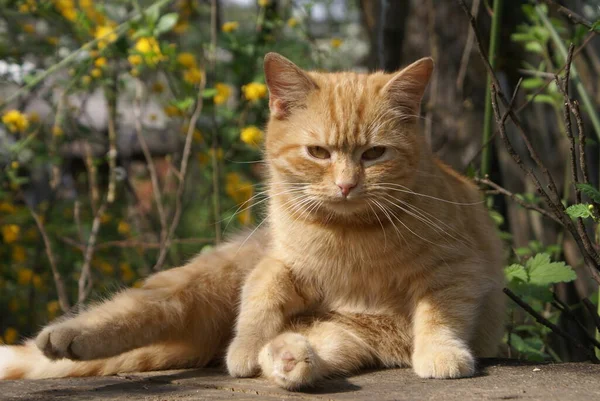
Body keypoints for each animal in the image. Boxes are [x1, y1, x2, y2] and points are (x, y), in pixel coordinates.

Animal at [0, 53, 506, 388]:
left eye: (374, 154)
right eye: (318, 152)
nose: (346, 185)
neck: (350, 237)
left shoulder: (452, 273)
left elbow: (438, 313)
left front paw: (440, 352)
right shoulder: (277, 265)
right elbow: (260, 302)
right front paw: (246, 349)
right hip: (201, 281)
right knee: (143, 308)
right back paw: (66, 337)